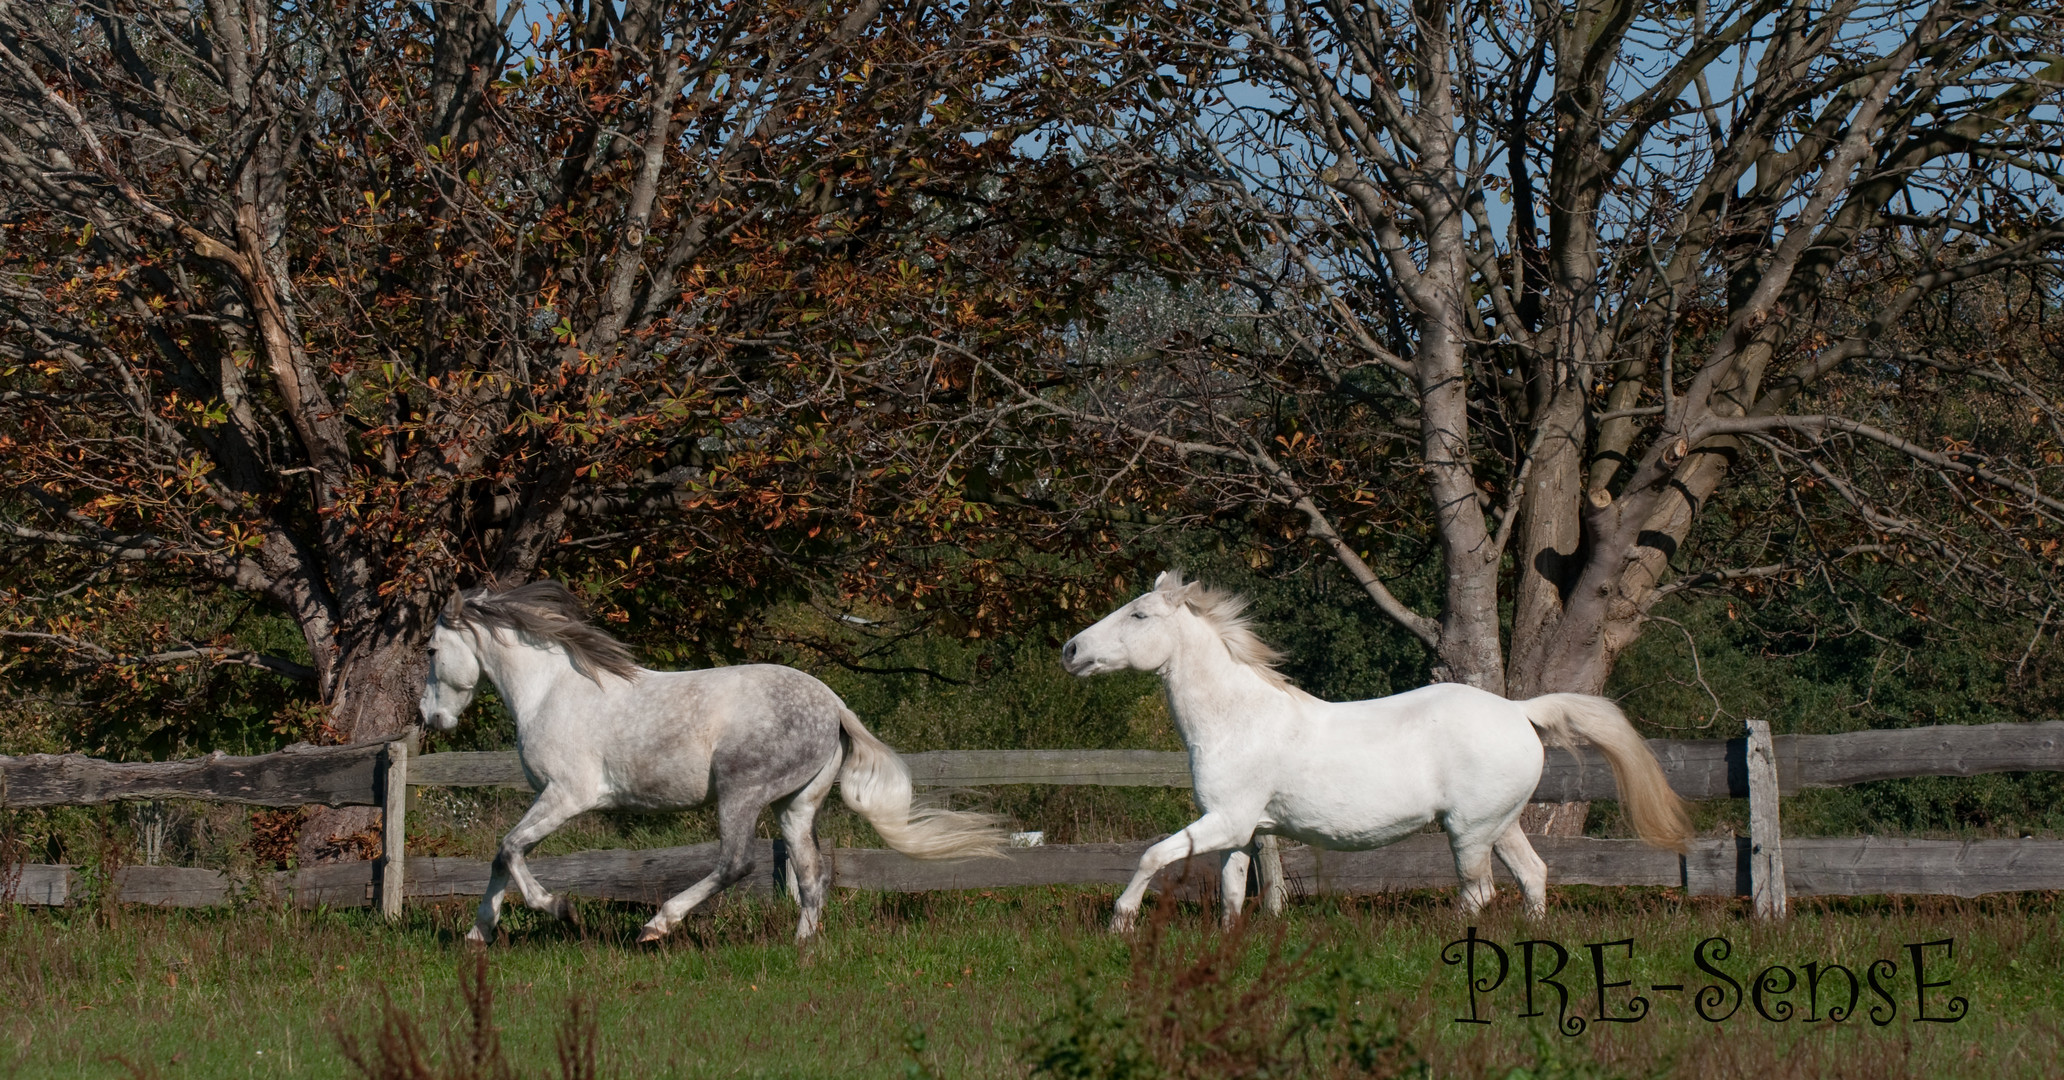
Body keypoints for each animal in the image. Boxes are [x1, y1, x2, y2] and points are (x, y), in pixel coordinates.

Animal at [414, 578, 1003, 941]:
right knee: (811, 873)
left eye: (431, 651)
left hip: (741, 793)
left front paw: (560, 909)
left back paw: (658, 925)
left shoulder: (567, 796)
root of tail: (833, 703)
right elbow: (501, 857)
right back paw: (802, 947)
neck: (551, 690)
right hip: (796, 803)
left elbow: (510, 849)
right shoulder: (546, 798)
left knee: (735, 863)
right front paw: (478, 934)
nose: (429, 718)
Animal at [1065, 569, 1692, 933]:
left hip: (1468, 830)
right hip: (1499, 823)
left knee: (1480, 892)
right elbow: (1232, 893)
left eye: (1139, 614)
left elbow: (1153, 856)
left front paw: (1121, 923)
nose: (1070, 650)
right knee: (1532, 875)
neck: (1238, 720)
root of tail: (1519, 711)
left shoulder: (1227, 820)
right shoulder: (1239, 830)